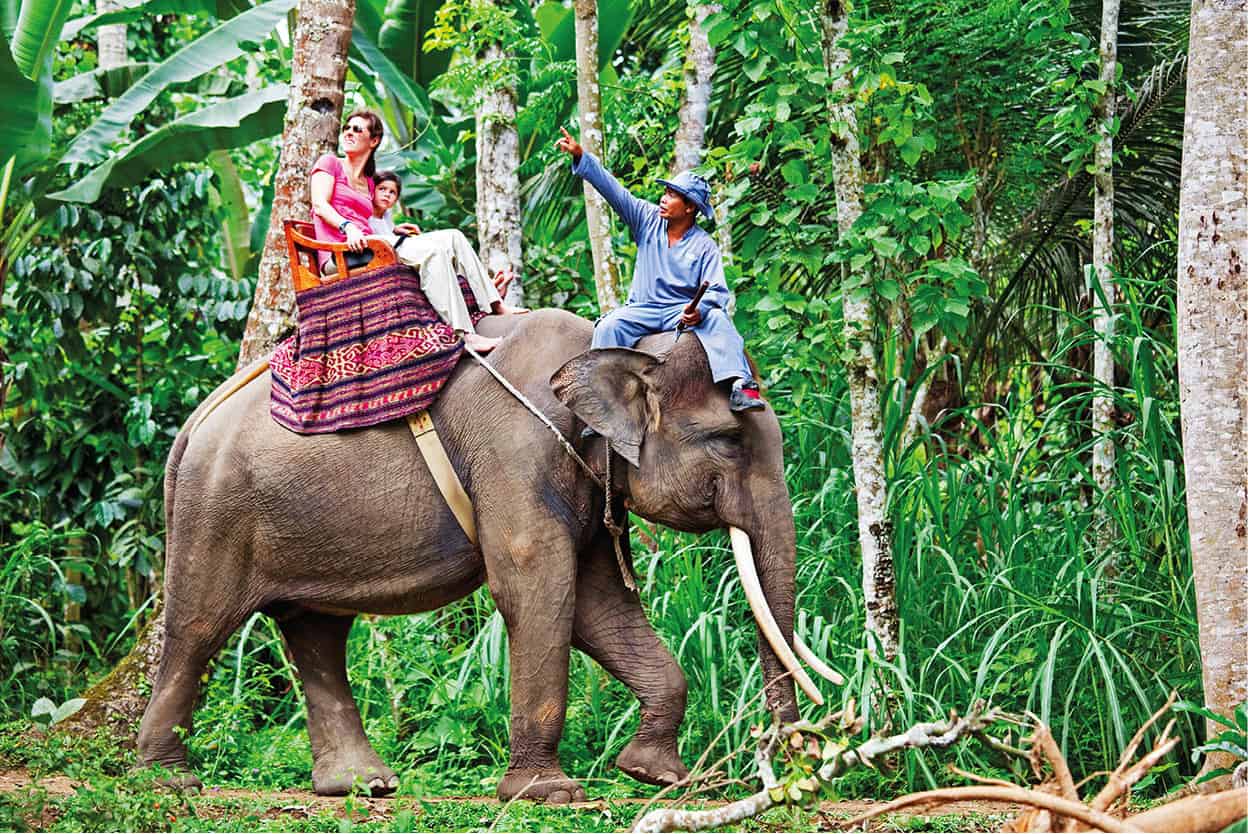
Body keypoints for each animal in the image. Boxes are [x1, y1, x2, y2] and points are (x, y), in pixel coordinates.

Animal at [136, 308, 833, 799]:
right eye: (727, 441)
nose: (793, 760)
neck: (607, 345)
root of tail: (192, 425)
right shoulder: (514, 450)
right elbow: (538, 589)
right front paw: (548, 793)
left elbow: (599, 606)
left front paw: (655, 776)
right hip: (215, 515)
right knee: (198, 627)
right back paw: (169, 781)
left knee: (318, 634)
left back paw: (363, 787)